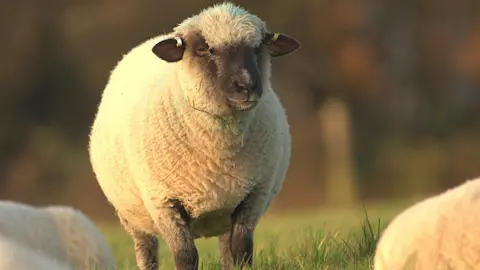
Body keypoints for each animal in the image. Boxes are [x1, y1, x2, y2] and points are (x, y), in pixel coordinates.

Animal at [88, 2, 300, 270]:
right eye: (203, 49)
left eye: (257, 47)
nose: (246, 86)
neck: (217, 151)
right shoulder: (164, 202)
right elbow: (186, 255)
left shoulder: (254, 196)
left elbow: (242, 250)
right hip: (133, 216)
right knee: (146, 250)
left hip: (226, 209)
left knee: (226, 249)